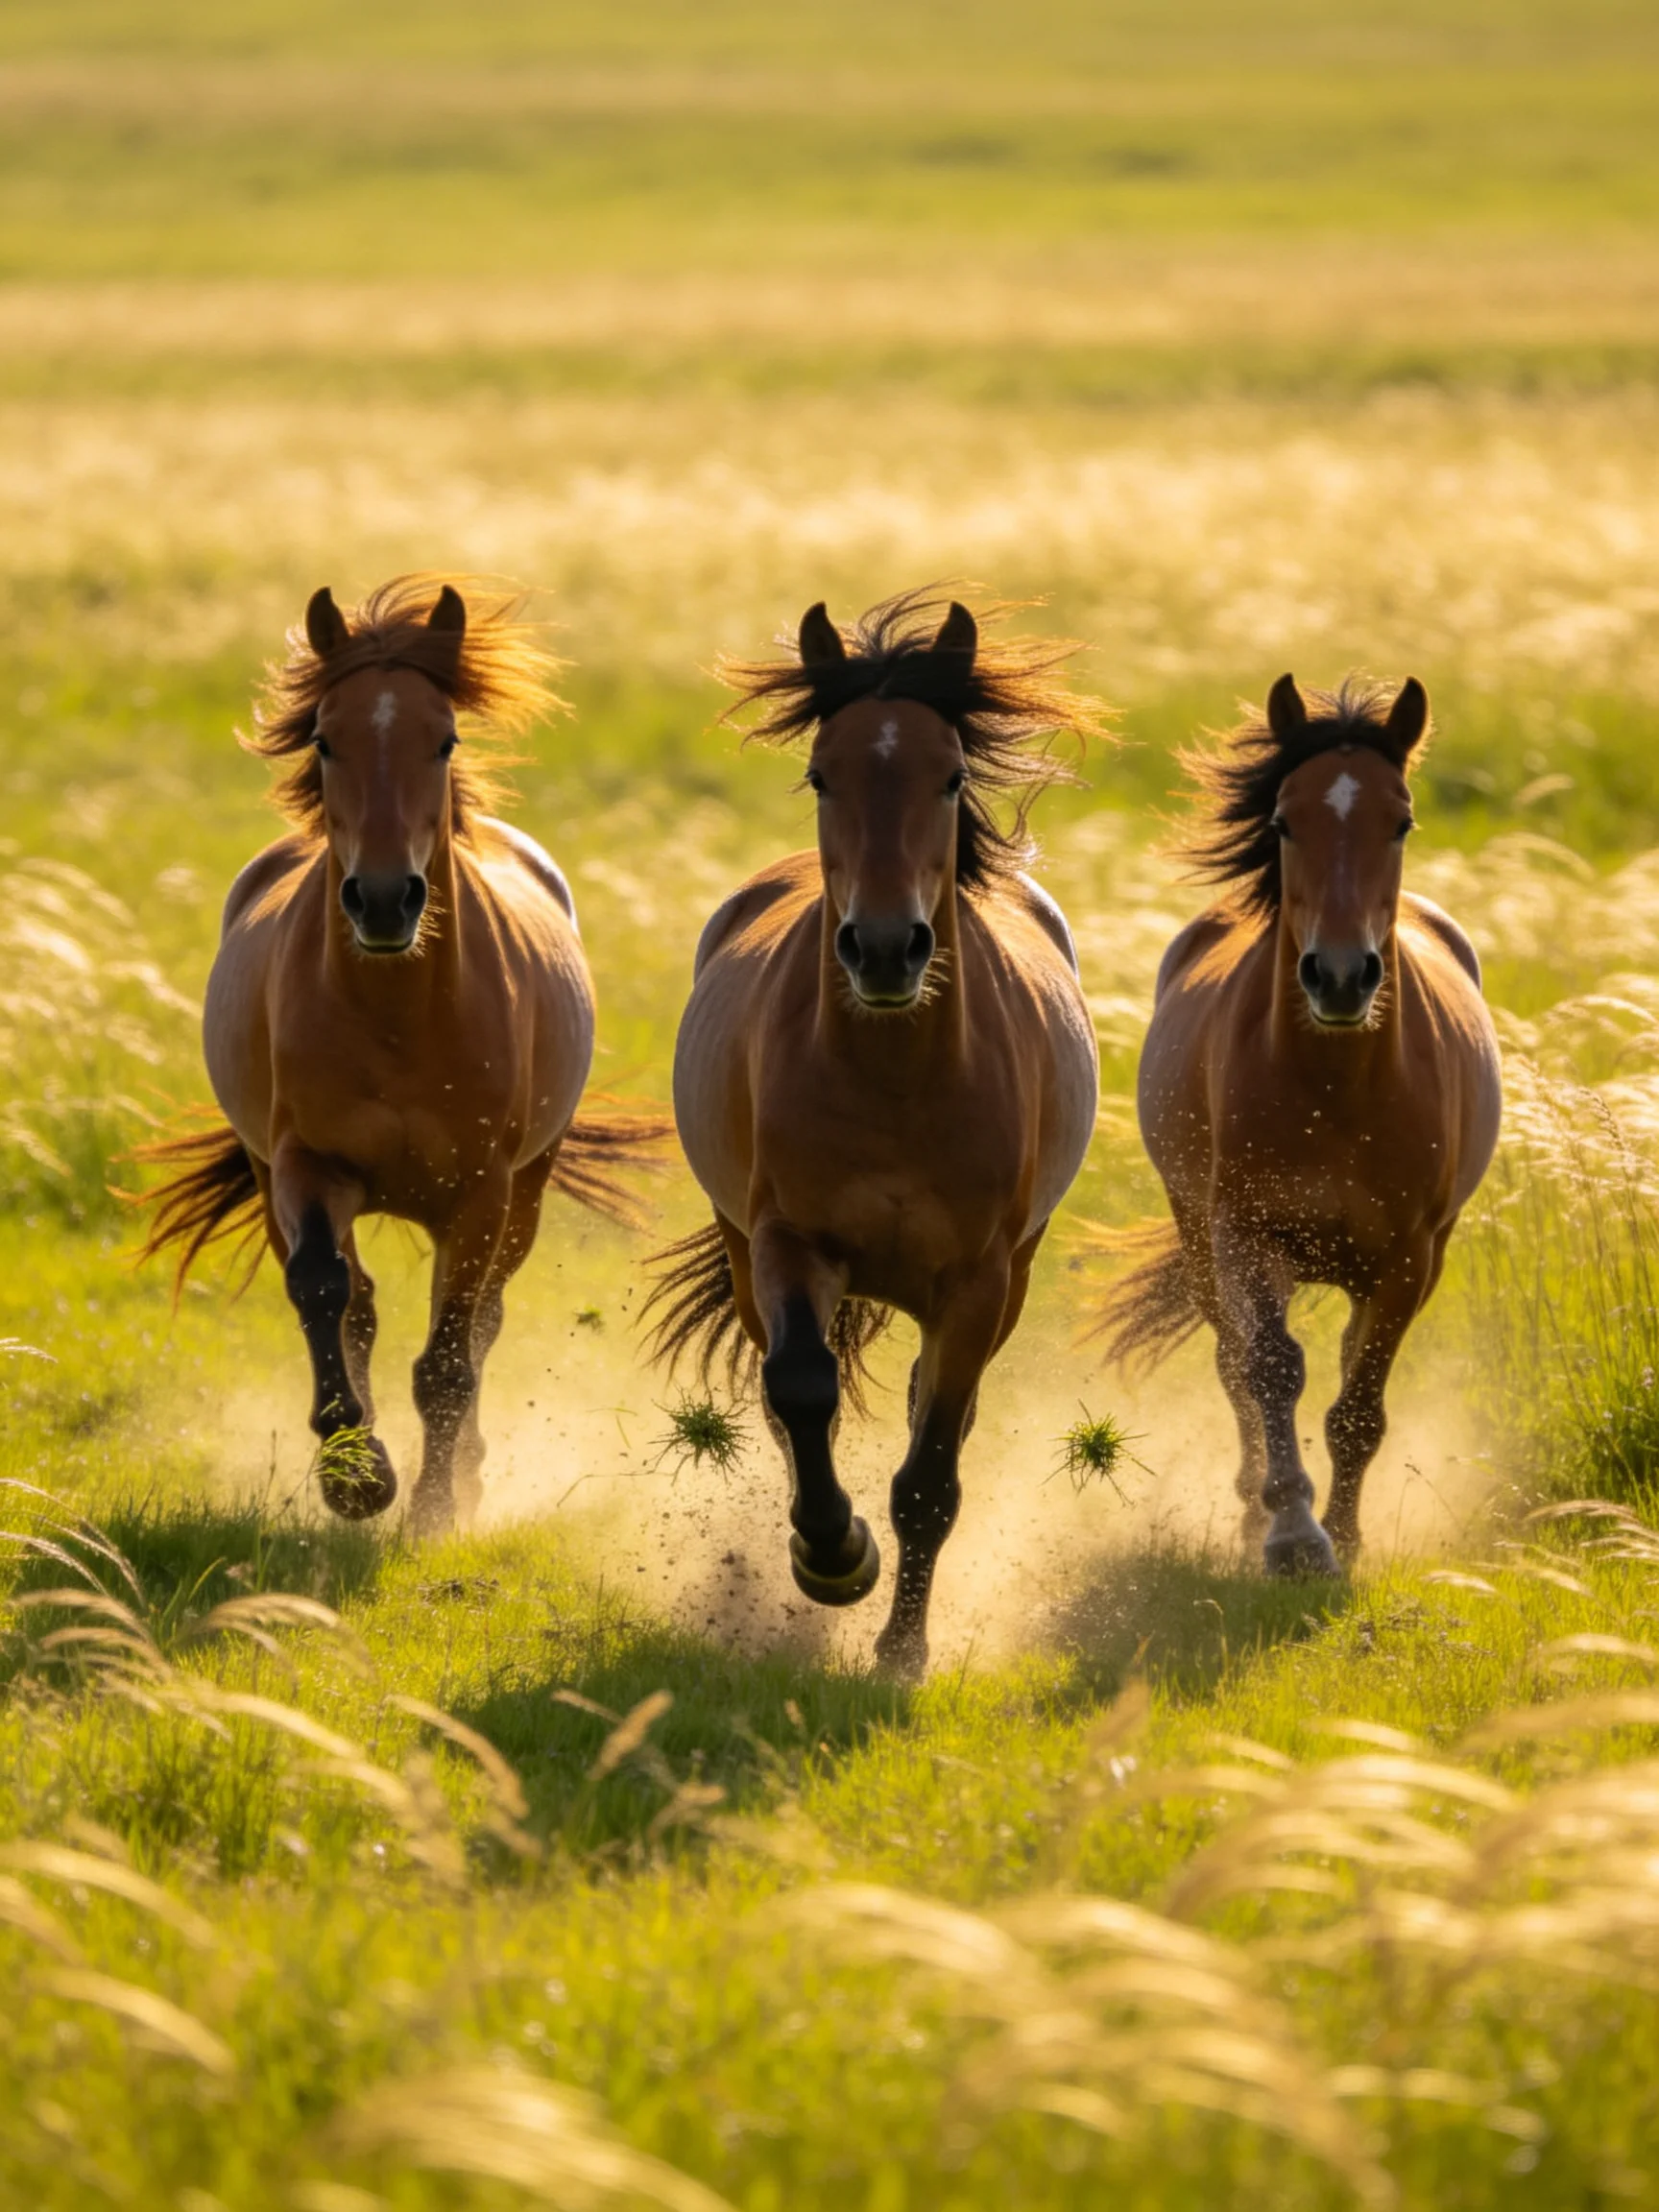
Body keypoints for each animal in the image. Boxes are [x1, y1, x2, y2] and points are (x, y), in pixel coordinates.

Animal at [139, 576, 646, 1532]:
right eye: (324, 739)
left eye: (443, 738)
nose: (381, 900)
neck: (399, 1017)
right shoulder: (306, 1165)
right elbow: (323, 1290)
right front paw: (355, 1474)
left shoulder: (482, 1193)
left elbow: (450, 1355)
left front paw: (435, 1511)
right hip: (275, 1172)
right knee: (361, 1303)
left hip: (524, 1191)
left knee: (482, 1318)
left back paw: (469, 1476)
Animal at [645, 590, 1104, 1679]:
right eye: (824, 774)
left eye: (951, 776)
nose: (887, 950)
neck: (898, 1081)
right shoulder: (787, 1242)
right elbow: (802, 1388)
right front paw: (832, 1555)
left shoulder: (979, 1283)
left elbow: (931, 1473)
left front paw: (901, 1651)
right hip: (745, 1255)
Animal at [1096, 674, 1502, 1575]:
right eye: (1285, 822)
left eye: (1402, 820)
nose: (1341, 978)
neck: (1335, 1091)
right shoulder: (1247, 1233)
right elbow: (1271, 1370)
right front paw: (1290, 1534)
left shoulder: (1411, 1259)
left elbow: (1360, 1403)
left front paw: (1344, 1539)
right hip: (1201, 1239)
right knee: (1233, 1364)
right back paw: (1254, 1513)